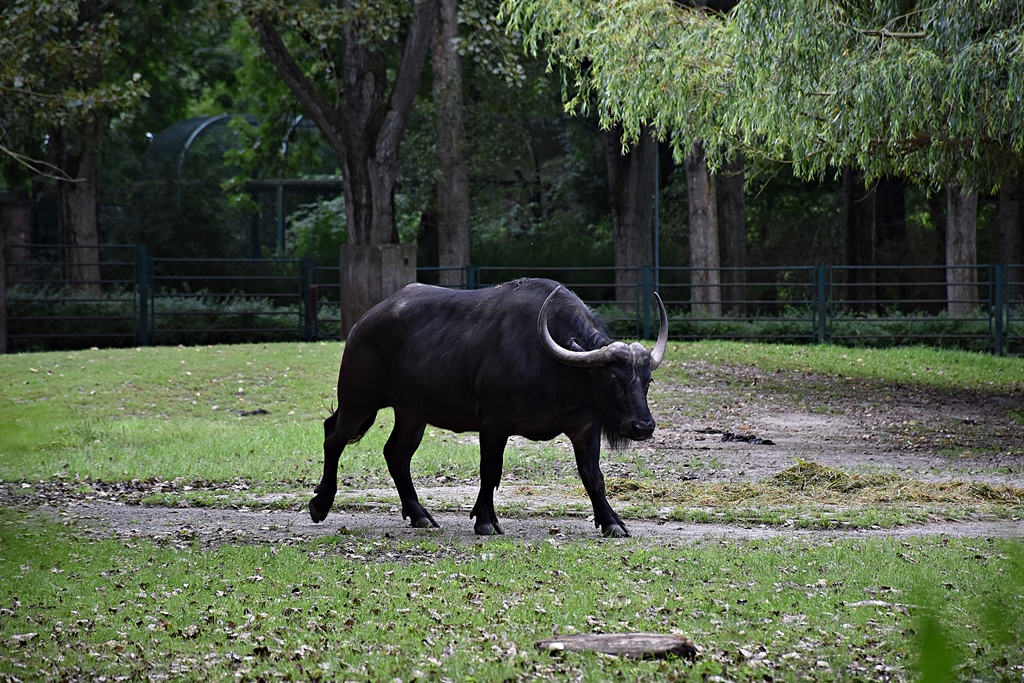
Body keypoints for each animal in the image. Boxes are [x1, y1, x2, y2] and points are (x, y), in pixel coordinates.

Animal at [310, 277, 667, 537]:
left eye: (647, 380)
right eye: (614, 380)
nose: (643, 426)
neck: (556, 367)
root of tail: (364, 323)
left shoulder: (584, 427)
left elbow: (593, 476)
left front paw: (612, 522)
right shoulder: (494, 422)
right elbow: (490, 470)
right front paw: (485, 520)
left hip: (412, 413)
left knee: (396, 454)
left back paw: (420, 515)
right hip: (358, 399)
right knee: (334, 437)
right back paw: (320, 504)